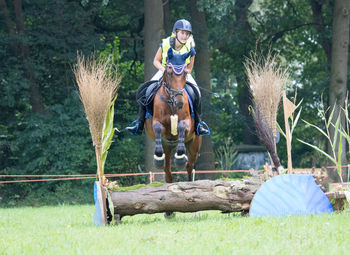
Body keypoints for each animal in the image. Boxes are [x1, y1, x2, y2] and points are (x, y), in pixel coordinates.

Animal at [144, 48, 201, 183]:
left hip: (194, 144)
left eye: (185, 73)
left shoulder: (188, 122)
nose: (179, 102)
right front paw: (158, 157)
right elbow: (158, 128)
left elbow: (181, 126)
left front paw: (180, 156)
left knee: (189, 165)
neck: (171, 102)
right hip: (167, 146)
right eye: (169, 73)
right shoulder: (156, 123)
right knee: (167, 170)